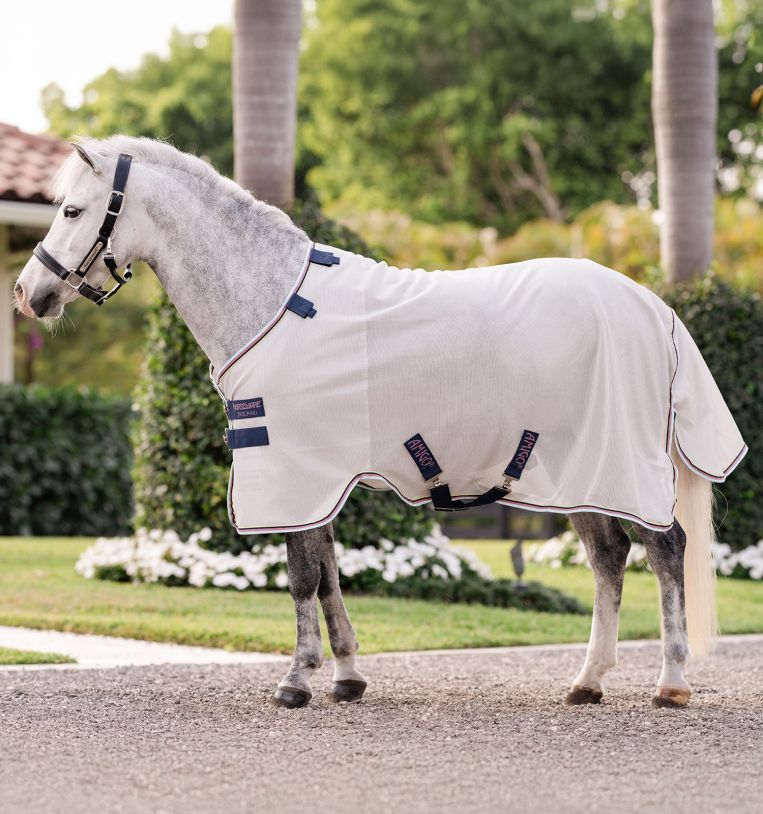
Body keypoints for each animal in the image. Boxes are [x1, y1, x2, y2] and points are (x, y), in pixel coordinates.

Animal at [15, 137, 746, 710]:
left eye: (72, 210)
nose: (29, 293)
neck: (274, 301)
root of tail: (653, 306)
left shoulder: (294, 471)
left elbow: (303, 576)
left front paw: (296, 681)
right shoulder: (317, 478)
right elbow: (328, 572)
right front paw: (345, 677)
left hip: (622, 468)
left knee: (666, 551)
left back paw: (671, 682)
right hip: (583, 474)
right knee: (608, 560)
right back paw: (587, 682)